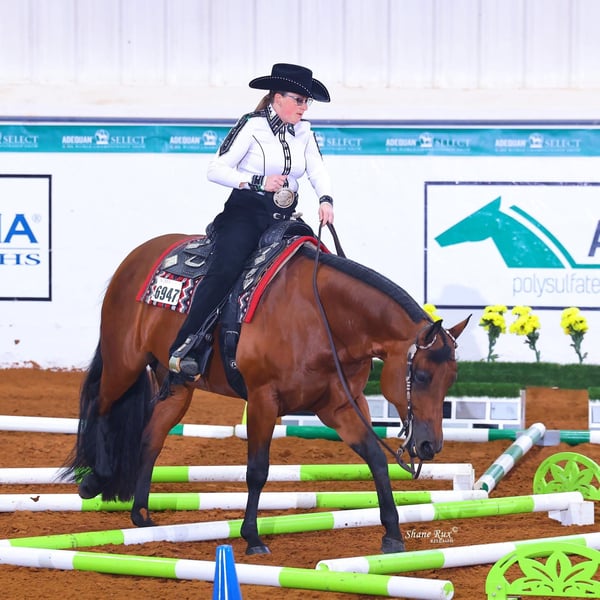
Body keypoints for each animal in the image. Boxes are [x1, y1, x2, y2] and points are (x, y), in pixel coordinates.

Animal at [66, 229, 469, 556]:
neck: (322, 316)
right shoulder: (263, 399)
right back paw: (95, 480)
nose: (430, 446)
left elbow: (375, 457)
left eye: (451, 378)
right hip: (124, 362)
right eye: (420, 375)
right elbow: (257, 470)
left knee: (151, 436)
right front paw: (253, 537)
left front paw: (392, 534)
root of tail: (136, 256)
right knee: (101, 404)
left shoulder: (340, 405)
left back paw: (141, 514)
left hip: (177, 386)